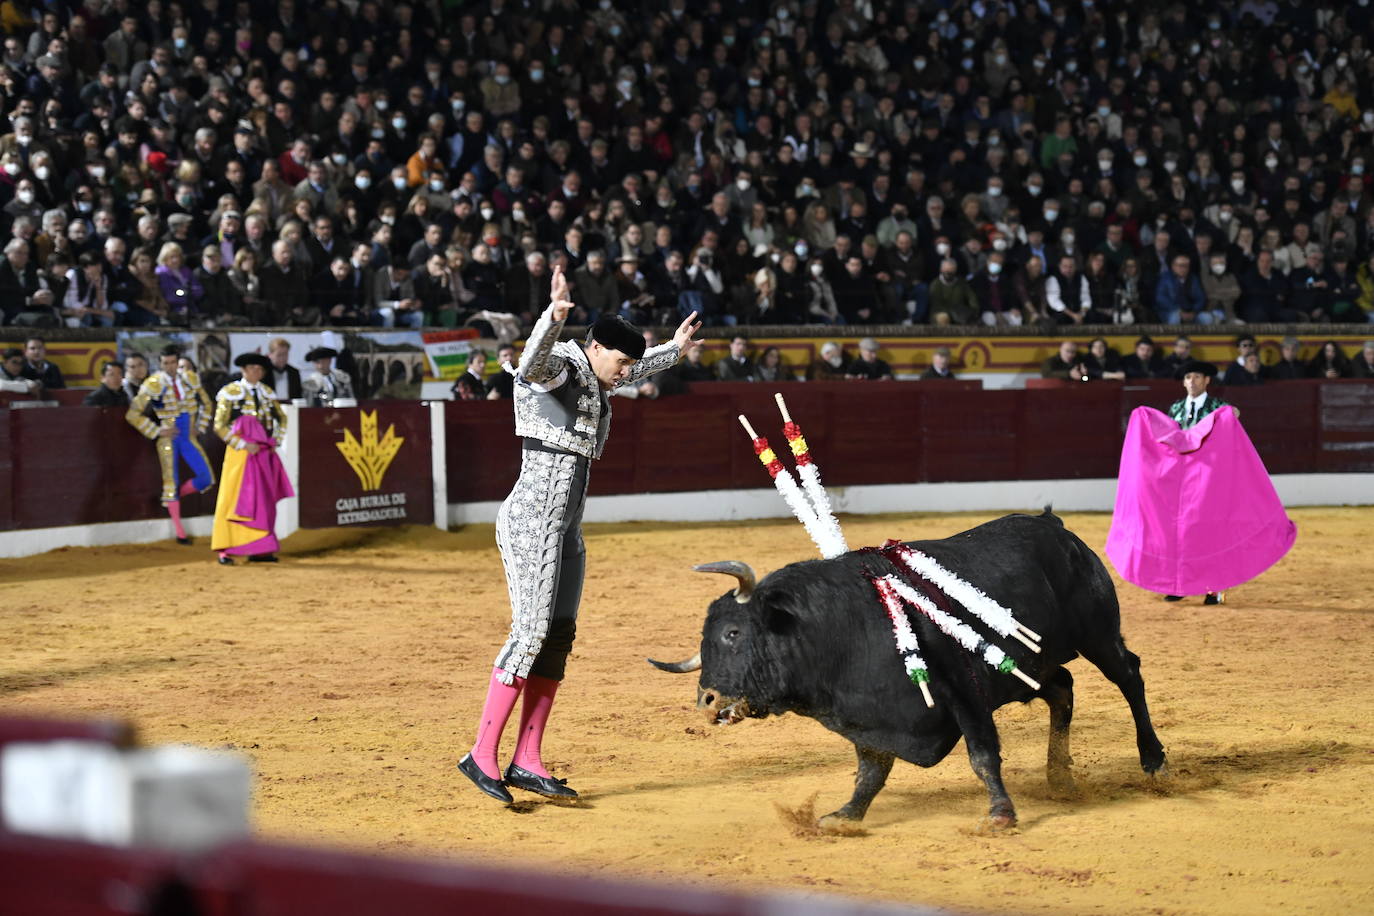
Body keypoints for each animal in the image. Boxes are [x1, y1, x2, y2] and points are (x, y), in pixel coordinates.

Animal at [648, 508, 1165, 829]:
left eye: (733, 633)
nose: (706, 699)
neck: (834, 626)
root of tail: (1054, 527)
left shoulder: (963, 692)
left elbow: (982, 754)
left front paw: (999, 815)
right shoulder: (866, 717)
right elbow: (870, 771)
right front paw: (844, 817)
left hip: (1097, 635)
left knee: (1129, 676)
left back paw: (1153, 761)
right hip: (1033, 665)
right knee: (1062, 688)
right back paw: (1059, 778)